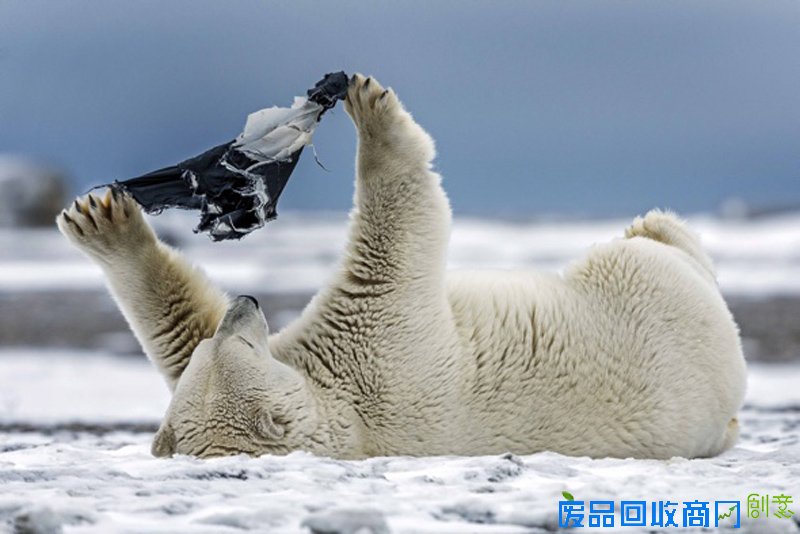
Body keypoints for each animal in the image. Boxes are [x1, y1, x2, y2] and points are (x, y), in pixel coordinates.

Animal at [57, 74, 746, 460]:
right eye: (239, 348)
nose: (246, 304)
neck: (348, 416)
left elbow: (176, 327)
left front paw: (100, 219)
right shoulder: (381, 351)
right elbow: (399, 232)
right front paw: (370, 107)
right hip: (644, 289)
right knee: (653, 254)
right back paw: (656, 224)